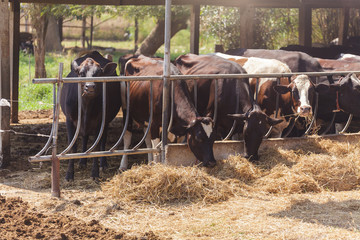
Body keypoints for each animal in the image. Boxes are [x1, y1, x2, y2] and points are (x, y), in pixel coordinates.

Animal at [59, 51, 121, 181]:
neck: (86, 106)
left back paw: (103, 164)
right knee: (85, 138)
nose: (90, 86)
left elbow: (96, 147)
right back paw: (82, 162)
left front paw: (95, 173)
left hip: (106, 122)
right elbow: (72, 147)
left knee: (102, 141)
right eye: (81, 73)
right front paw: (69, 174)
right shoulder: (69, 120)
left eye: (98, 73)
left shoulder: (100, 122)